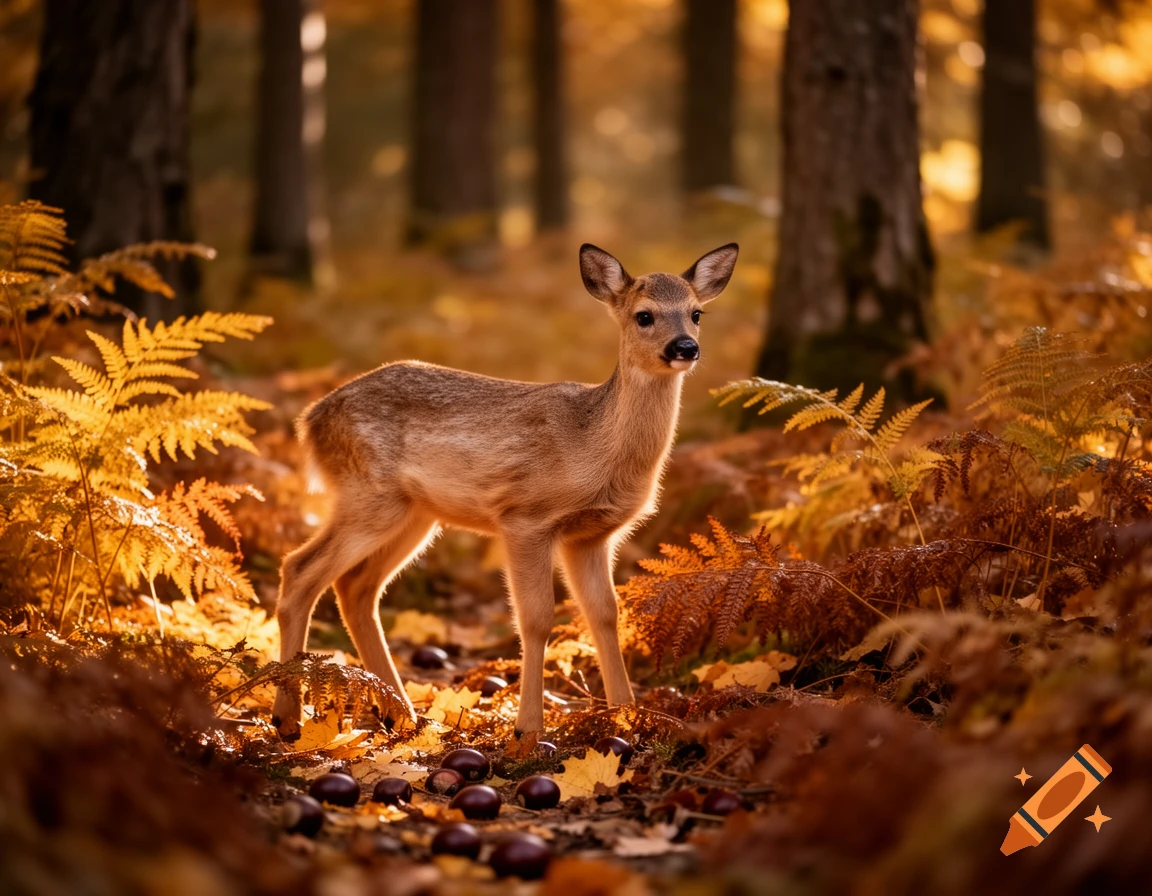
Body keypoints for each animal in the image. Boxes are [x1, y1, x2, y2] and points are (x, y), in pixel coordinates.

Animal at [272, 242, 739, 740]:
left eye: (696, 313)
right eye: (644, 316)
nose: (685, 346)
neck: (593, 447)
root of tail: (309, 421)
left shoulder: (592, 535)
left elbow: (605, 614)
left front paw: (626, 717)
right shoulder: (524, 518)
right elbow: (536, 619)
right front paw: (529, 730)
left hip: (415, 515)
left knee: (355, 586)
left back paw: (402, 714)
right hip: (368, 496)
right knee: (299, 569)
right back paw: (288, 718)